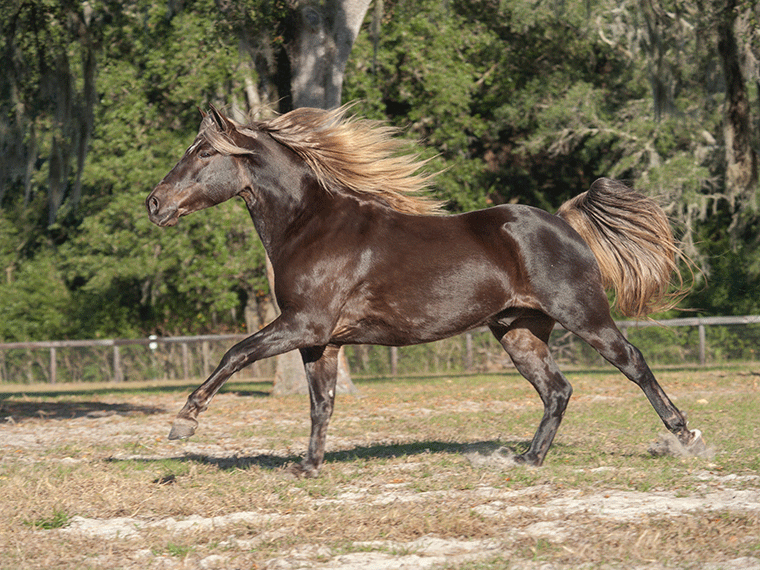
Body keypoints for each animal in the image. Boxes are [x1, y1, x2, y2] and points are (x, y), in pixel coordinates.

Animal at [147, 103, 708, 474]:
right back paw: (528, 458)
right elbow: (321, 402)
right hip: (518, 331)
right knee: (557, 389)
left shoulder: (303, 324)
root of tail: (565, 222)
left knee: (632, 363)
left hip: (583, 314)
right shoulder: (320, 340)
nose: (154, 203)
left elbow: (234, 354)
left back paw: (685, 436)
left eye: (203, 152)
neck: (310, 226)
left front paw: (184, 422)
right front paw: (308, 467)